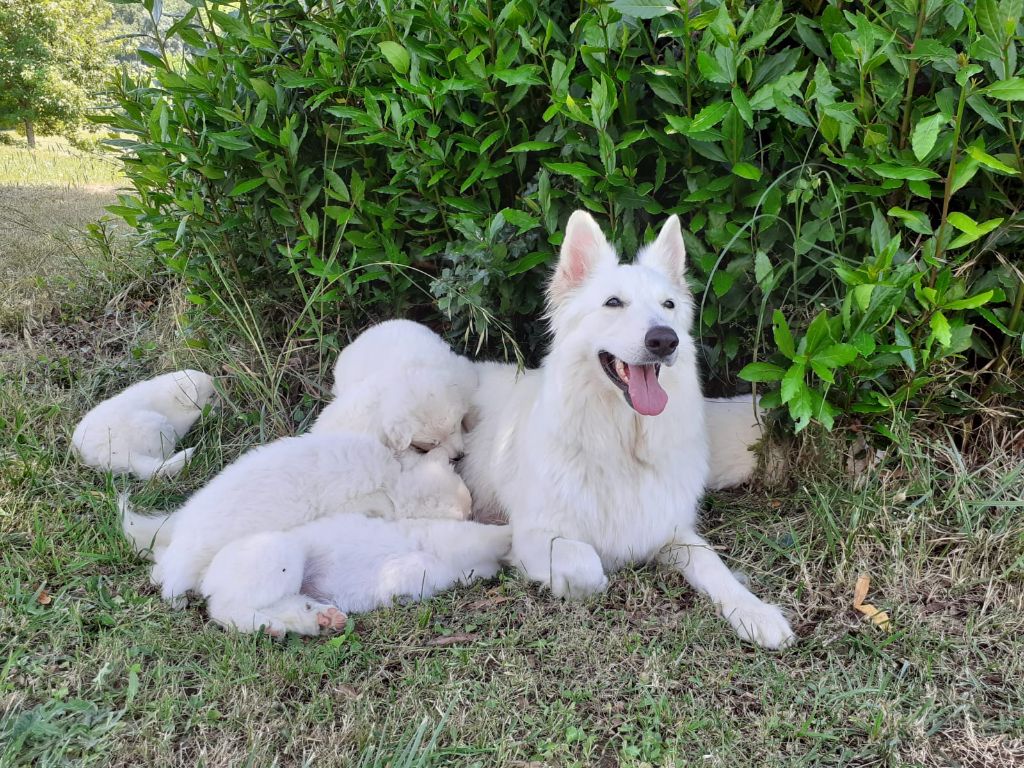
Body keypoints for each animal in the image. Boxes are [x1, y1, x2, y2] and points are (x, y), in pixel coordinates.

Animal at [74, 368, 216, 481]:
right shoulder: (180, 420)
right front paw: (211, 413)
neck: (172, 395)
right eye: (212, 396)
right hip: (157, 427)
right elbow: (198, 413)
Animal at [458, 208, 798, 651]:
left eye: (668, 305)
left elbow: (714, 564)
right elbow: (587, 564)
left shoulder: (672, 531)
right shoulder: (535, 535)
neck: (622, 444)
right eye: (613, 303)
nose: (664, 340)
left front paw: (755, 612)